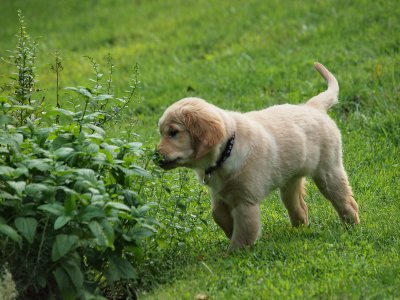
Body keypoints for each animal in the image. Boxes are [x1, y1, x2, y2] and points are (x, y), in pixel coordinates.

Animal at [155, 62, 360, 251]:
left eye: (173, 132)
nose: (154, 156)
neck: (227, 150)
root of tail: (313, 107)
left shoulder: (245, 202)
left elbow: (244, 232)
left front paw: (234, 253)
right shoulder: (219, 194)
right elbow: (217, 214)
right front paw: (229, 231)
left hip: (328, 171)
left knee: (345, 200)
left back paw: (352, 226)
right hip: (289, 180)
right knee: (300, 206)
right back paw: (300, 230)